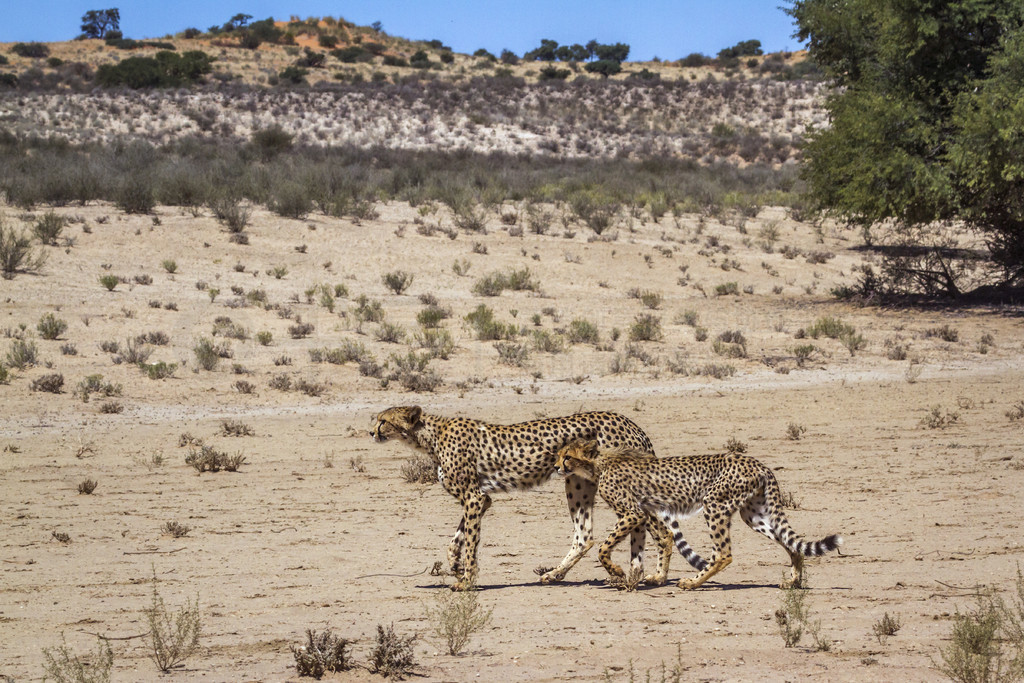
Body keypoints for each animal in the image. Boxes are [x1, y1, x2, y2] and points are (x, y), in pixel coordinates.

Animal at [374, 409, 704, 589]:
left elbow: (469, 542)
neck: (429, 435)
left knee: (654, 529)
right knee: (588, 534)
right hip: (579, 481)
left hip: (604, 484)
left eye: (383, 421)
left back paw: (651, 577)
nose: (371, 432)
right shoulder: (480, 499)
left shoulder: (474, 498)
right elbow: (457, 539)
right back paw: (573, 574)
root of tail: (629, 421)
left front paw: (466, 581)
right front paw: (455, 565)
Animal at [557, 440, 843, 589]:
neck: (598, 463)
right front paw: (658, 577)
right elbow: (664, 539)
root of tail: (757, 463)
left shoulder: (633, 512)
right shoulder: (648, 510)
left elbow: (603, 547)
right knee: (789, 542)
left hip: (714, 503)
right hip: (754, 514)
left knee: (724, 554)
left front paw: (616, 570)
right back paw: (793, 581)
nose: (557, 467)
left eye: (567, 456)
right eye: (559, 454)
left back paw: (692, 582)